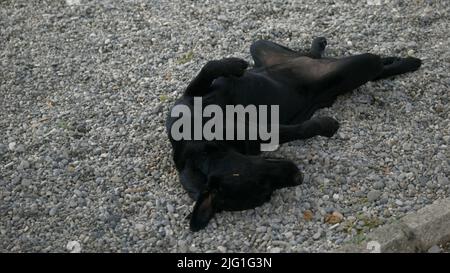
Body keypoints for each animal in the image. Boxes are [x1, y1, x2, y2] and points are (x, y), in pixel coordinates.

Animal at [166, 37, 422, 231]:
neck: (199, 148)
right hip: (346, 73)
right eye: (265, 192)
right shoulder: (261, 131)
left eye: (259, 174)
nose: (297, 177)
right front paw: (325, 126)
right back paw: (404, 62)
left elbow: (208, 68)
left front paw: (233, 65)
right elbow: (298, 130)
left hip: (263, 46)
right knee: (374, 69)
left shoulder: (191, 97)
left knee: (312, 54)